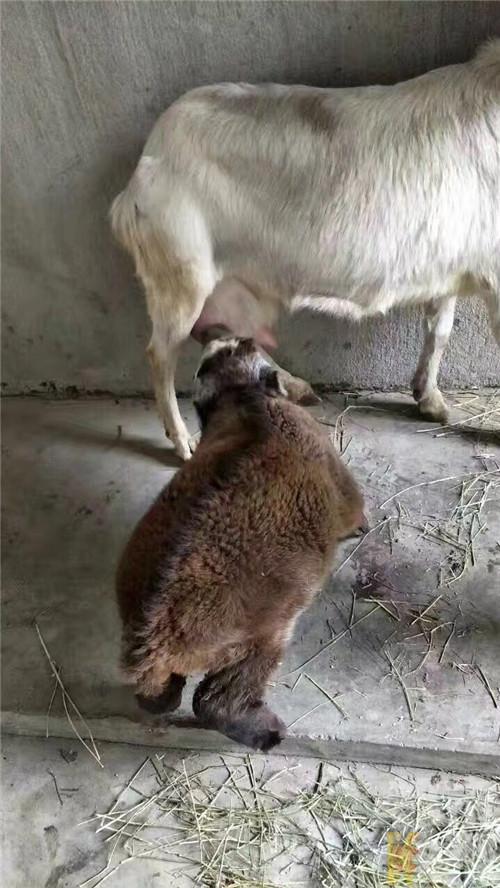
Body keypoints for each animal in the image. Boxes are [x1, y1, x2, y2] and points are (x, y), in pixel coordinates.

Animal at [111, 40, 498, 458]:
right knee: (160, 353)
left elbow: (439, 330)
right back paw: (184, 441)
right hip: (182, 270)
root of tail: (144, 166)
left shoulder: (448, 264)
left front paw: (431, 401)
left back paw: (295, 387)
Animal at [118, 332, 366, 748]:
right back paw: (265, 731)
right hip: (259, 633)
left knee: (158, 692)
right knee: (217, 698)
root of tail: (154, 635)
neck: (246, 399)